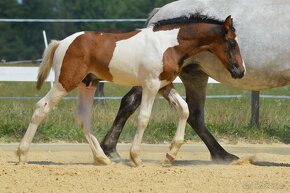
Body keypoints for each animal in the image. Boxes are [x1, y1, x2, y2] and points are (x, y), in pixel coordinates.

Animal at [17, 14, 245, 166]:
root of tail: (62, 43)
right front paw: (136, 157)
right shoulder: (151, 85)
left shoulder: (164, 86)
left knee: (83, 116)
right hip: (65, 82)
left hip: (88, 84)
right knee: (42, 107)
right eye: (232, 43)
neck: (167, 45)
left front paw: (171, 155)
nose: (240, 71)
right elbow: (143, 117)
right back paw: (22, 155)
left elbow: (185, 109)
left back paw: (102, 158)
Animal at [100, 0, 290, 161]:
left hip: (194, 74)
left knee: (194, 115)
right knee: (129, 102)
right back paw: (109, 150)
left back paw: (221, 155)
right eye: (232, 44)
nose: (241, 70)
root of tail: (158, 14)